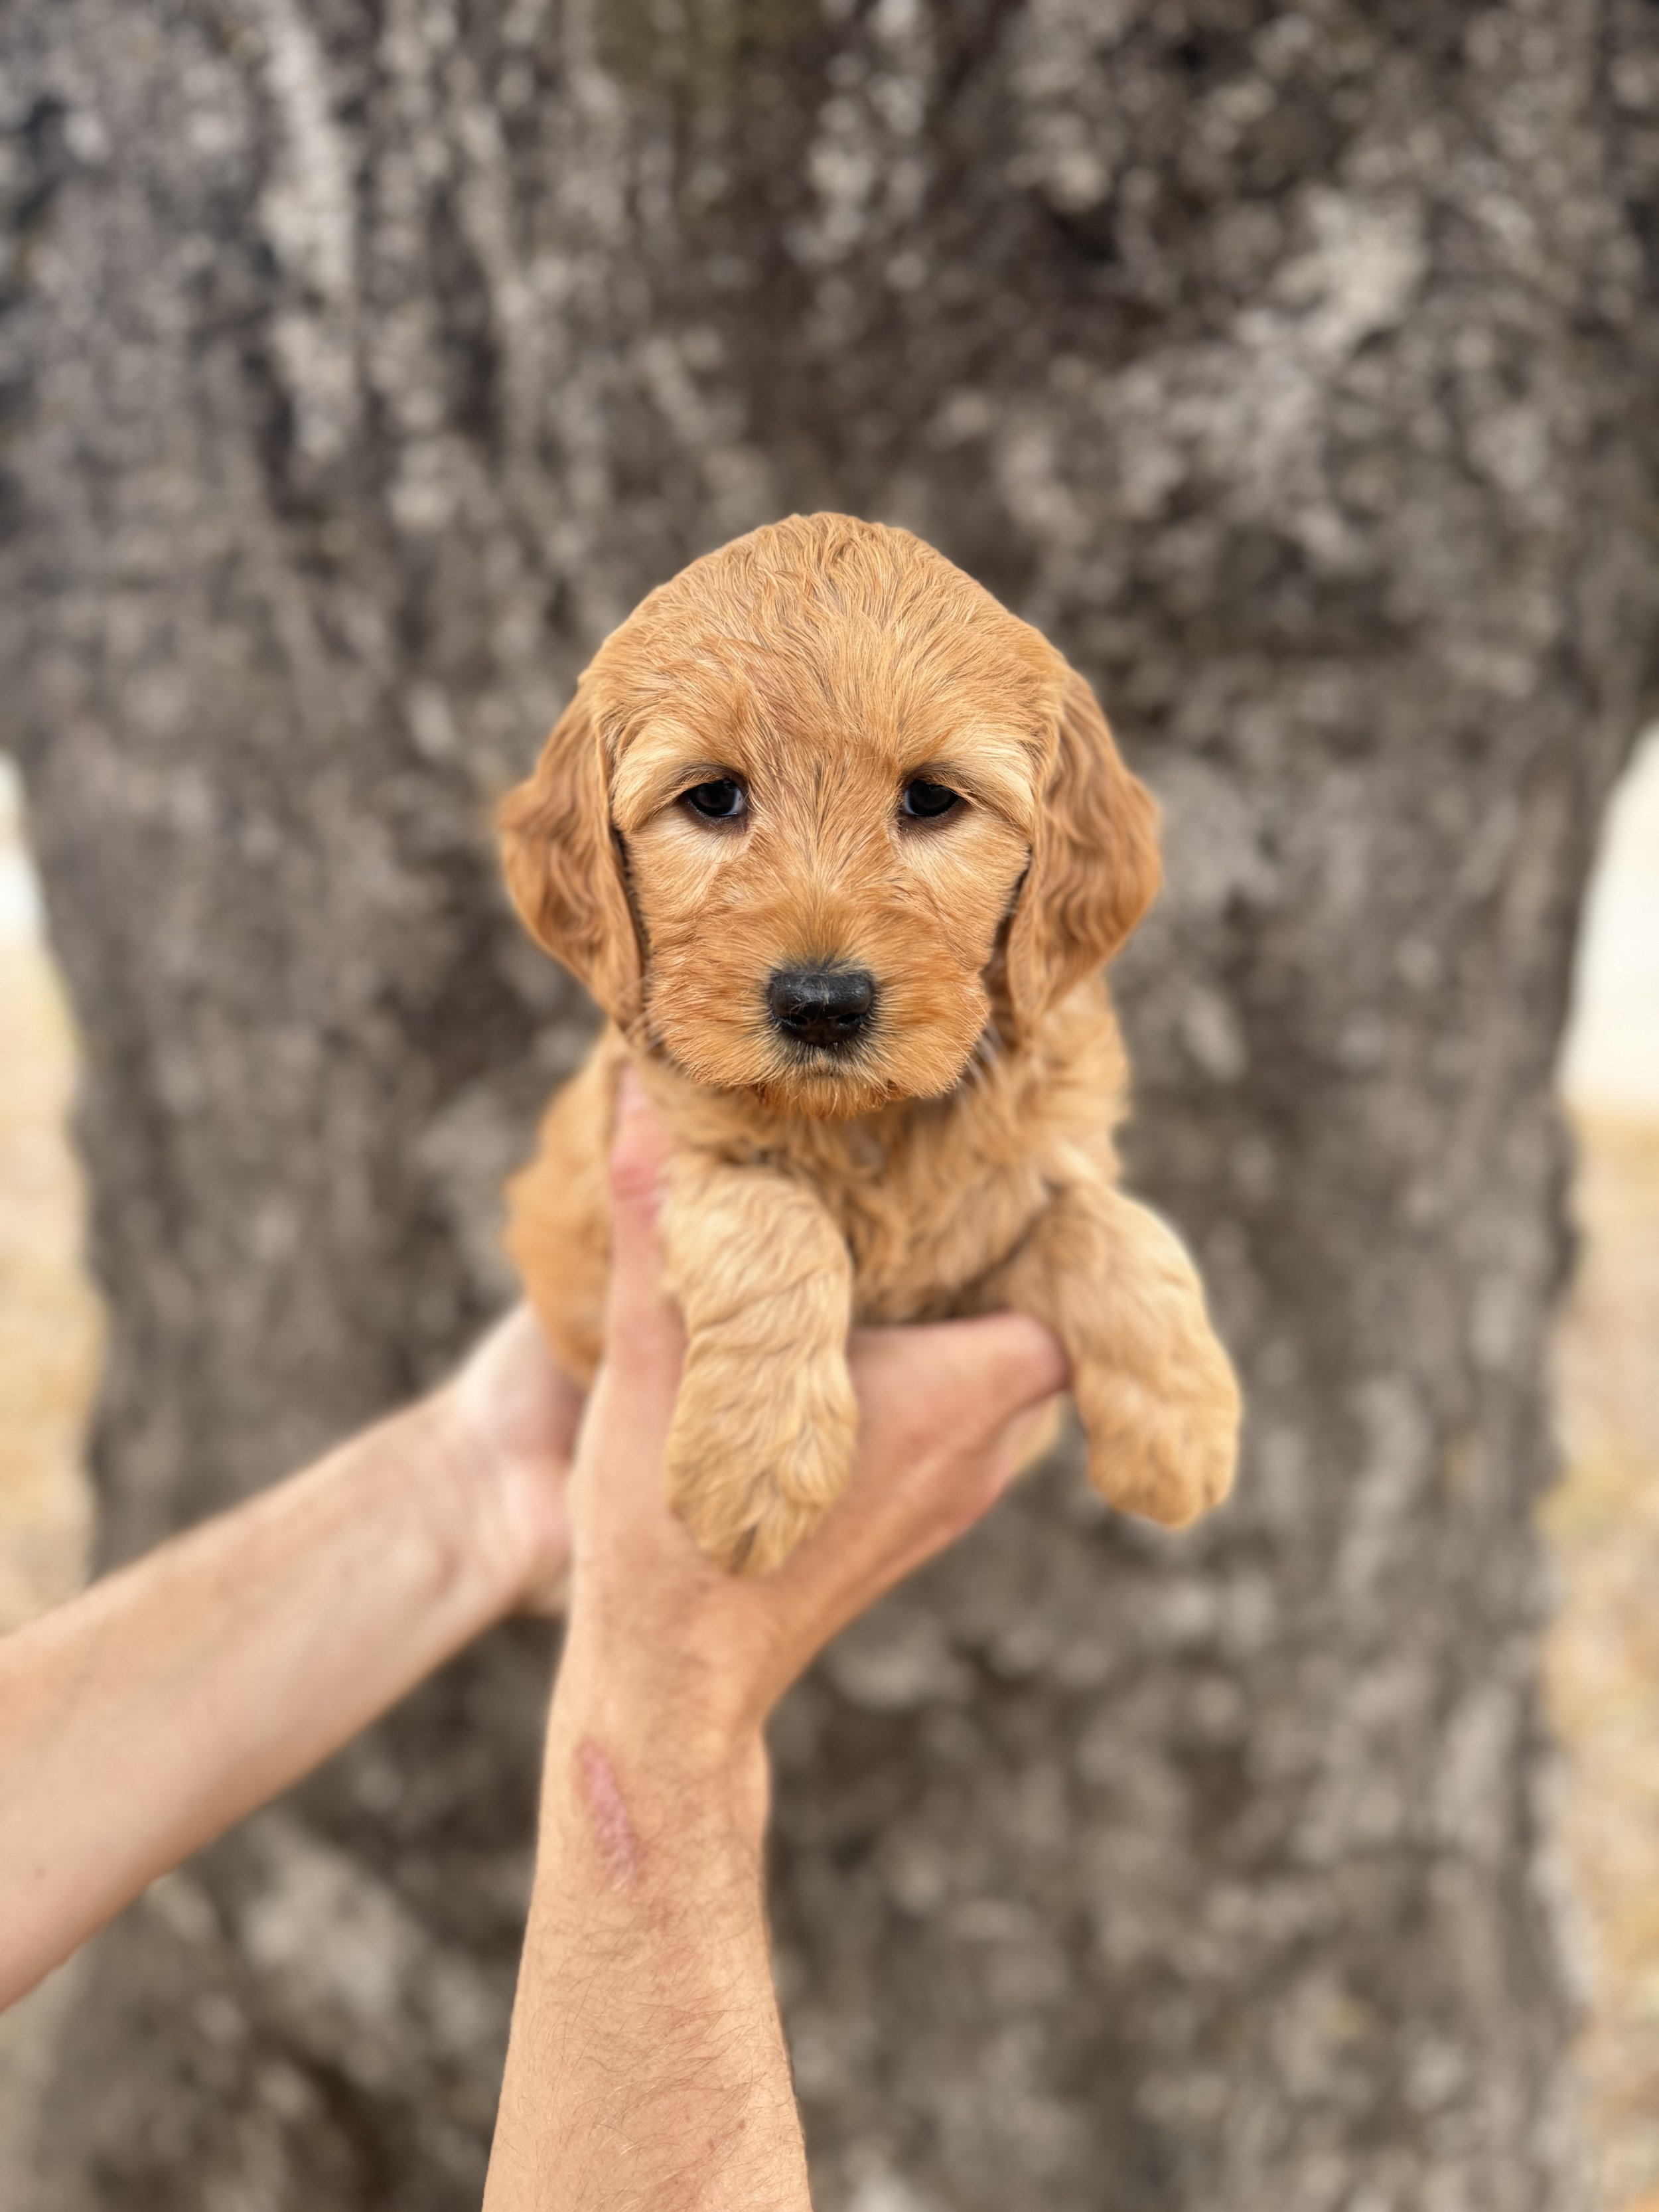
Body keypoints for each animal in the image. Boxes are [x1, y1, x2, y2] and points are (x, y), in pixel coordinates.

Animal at [500, 513, 1238, 1575]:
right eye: (713, 799)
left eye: (931, 800)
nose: (820, 1004)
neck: (870, 1127)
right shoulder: (648, 1158)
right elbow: (771, 1219)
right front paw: (756, 1466)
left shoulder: (1005, 1220)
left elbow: (1104, 1221)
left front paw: (1180, 1424)